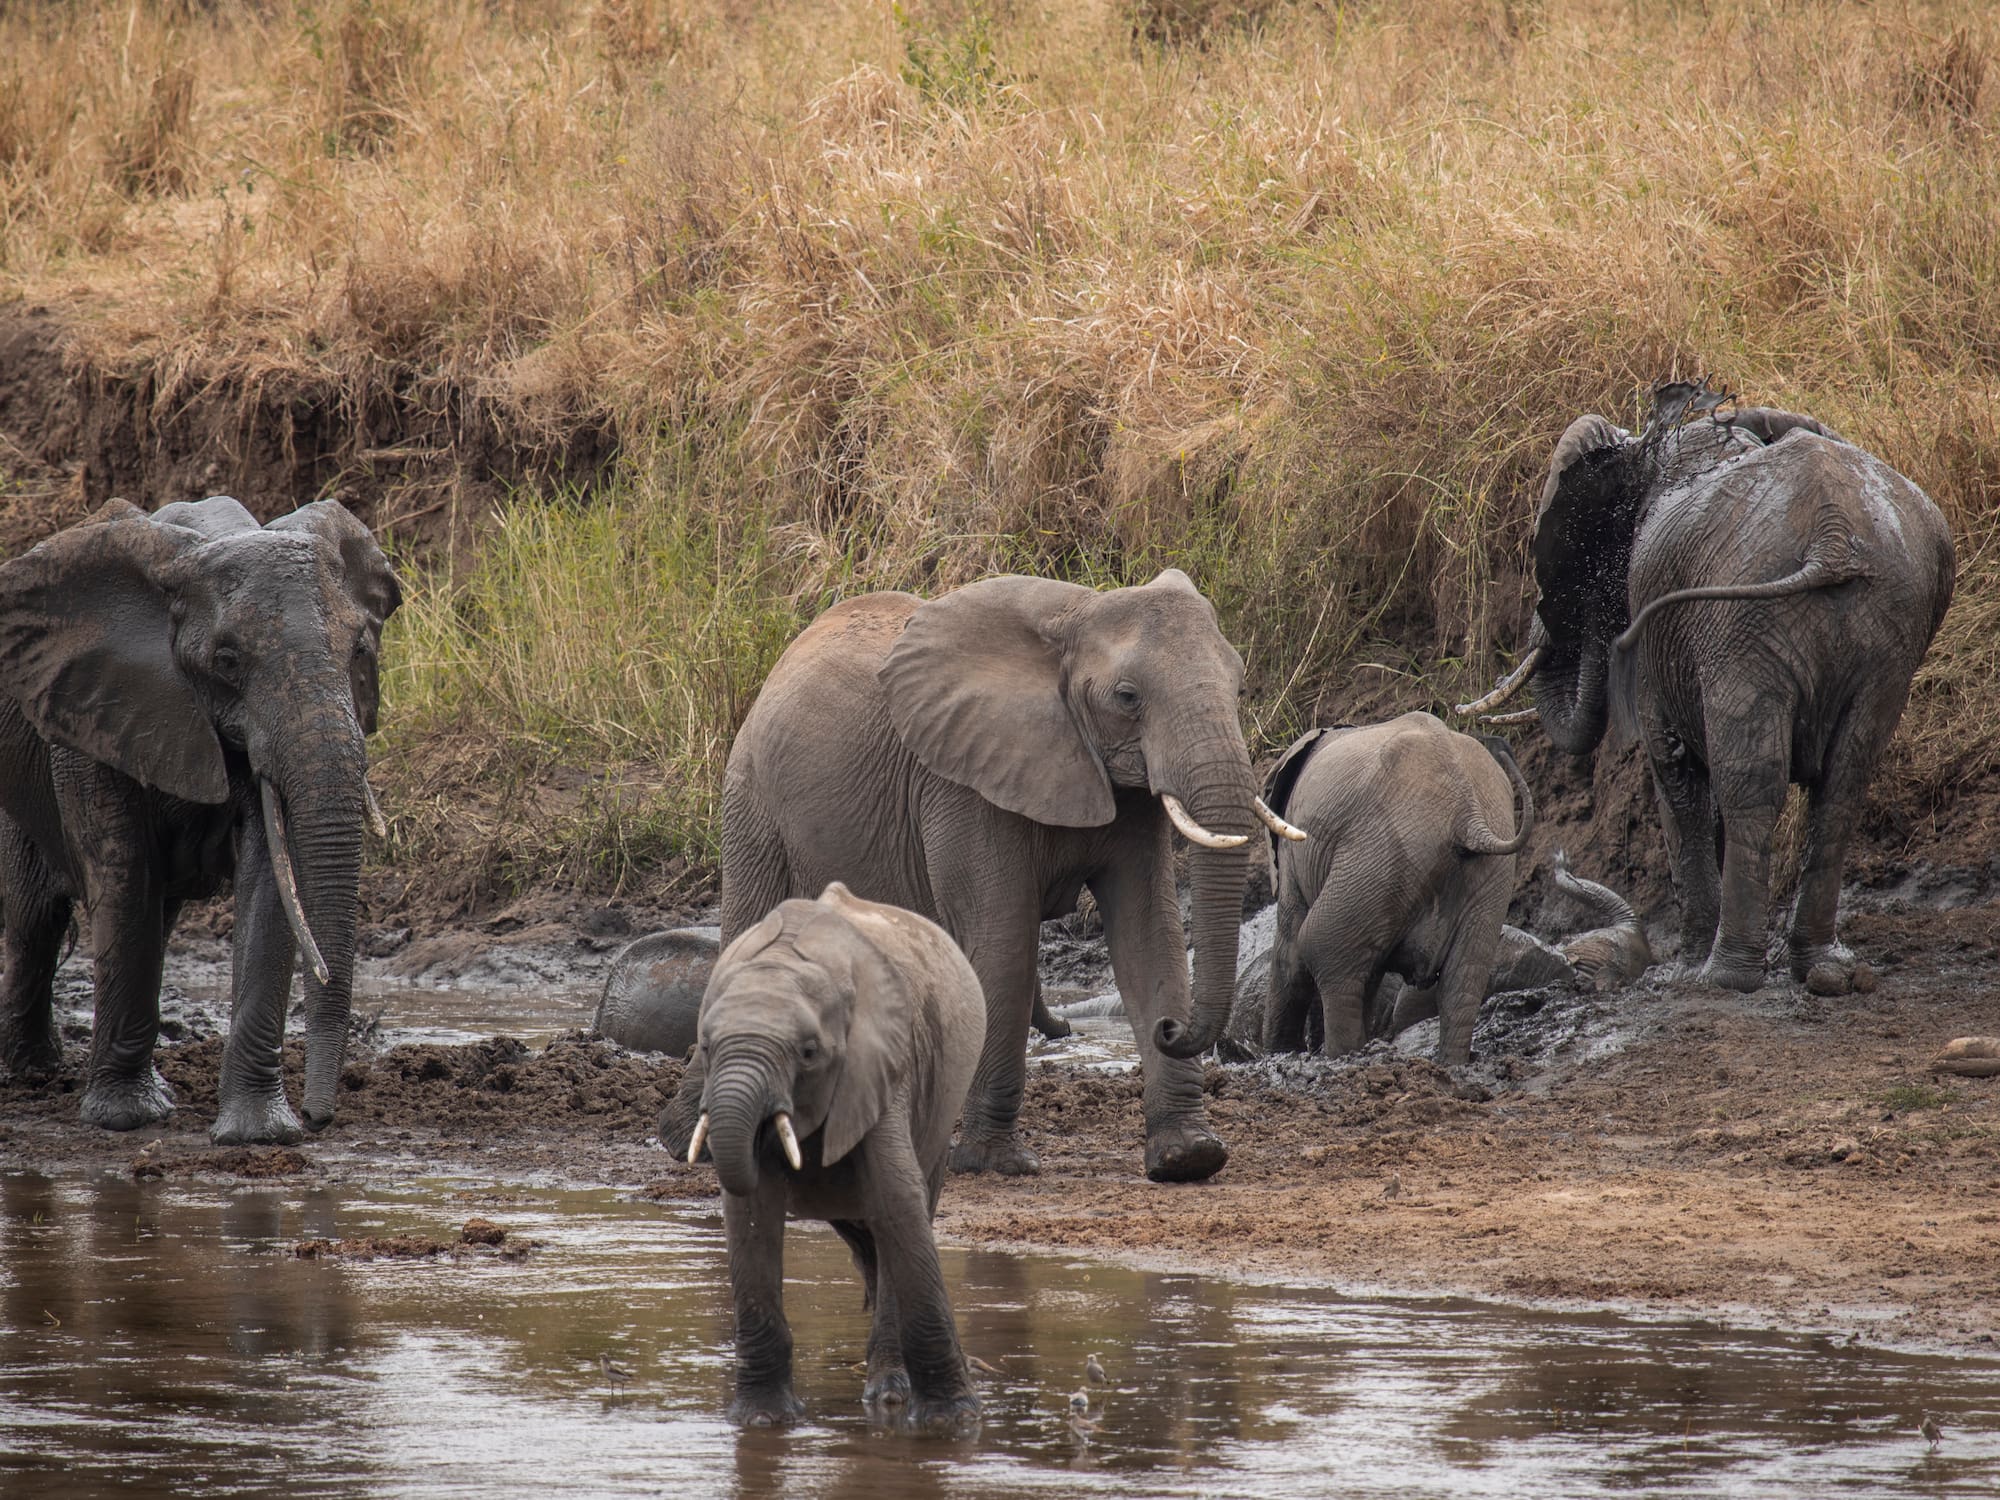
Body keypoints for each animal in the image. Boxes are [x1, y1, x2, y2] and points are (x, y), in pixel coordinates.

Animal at [0, 495, 401, 1142]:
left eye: (359, 651)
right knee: (36, 919)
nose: (321, 1119)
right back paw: (35, 1074)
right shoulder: (90, 719)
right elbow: (123, 877)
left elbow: (268, 884)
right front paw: (126, 1119)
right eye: (227, 660)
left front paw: (259, 1134)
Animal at [668, 882, 985, 1432]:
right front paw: (762, 1422)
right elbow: (751, 1213)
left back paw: (888, 1396)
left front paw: (951, 1425)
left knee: (896, 1216)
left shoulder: (883, 1067)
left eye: (809, 1052)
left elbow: (897, 1203)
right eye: (705, 1047)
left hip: (940, 1111)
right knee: (865, 1239)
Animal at [713, 569, 1300, 1184]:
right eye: (1127, 697)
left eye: (1239, 687)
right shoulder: (963, 783)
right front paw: (996, 1163)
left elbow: (1148, 935)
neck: (1078, 615)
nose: (1171, 1030)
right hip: (750, 797)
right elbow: (1004, 942)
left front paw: (1189, 1157)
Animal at [1258, 713, 1532, 1065]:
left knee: (1321, 948)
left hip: (1382, 852)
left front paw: (1279, 1054)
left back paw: (1342, 1058)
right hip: (1486, 872)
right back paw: (1449, 1065)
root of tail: (1469, 815)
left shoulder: (1294, 850)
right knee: (1463, 981)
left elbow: (1290, 952)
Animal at [1465, 382, 1955, 994]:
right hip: (1888, 627)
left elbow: (1672, 769)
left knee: (1750, 781)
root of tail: (1833, 534)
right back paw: (1827, 971)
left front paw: (1685, 966)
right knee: (1842, 784)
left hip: (1742, 625)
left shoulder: (1657, 629)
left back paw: (1722, 977)